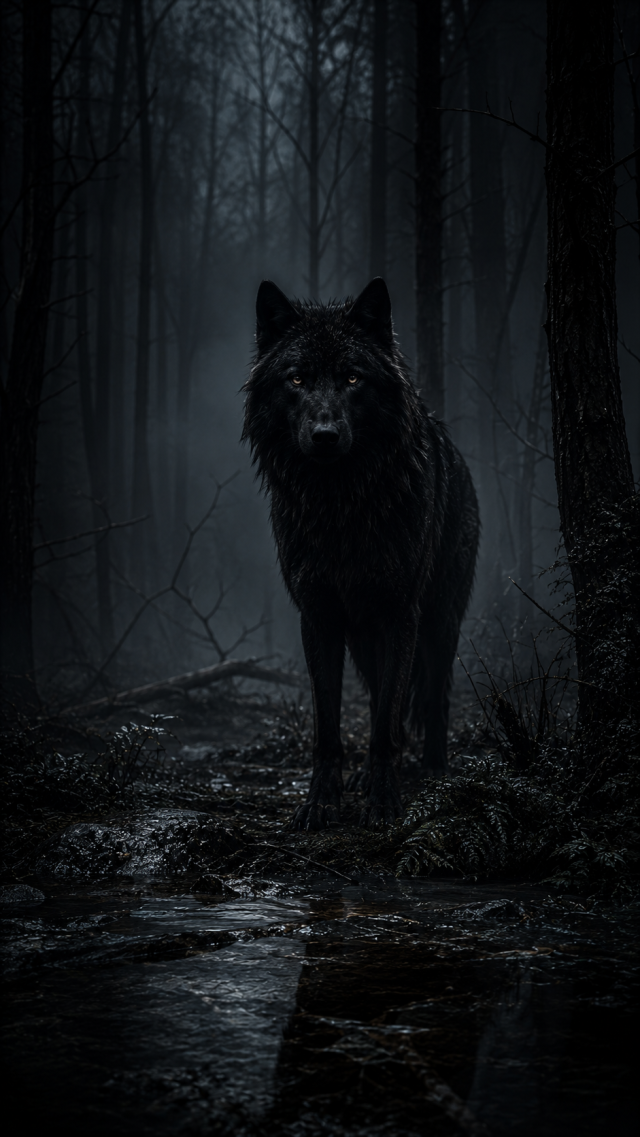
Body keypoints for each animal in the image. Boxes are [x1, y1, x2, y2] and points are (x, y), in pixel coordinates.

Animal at [242, 278, 479, 829]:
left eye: (352, 378)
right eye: (298, 379)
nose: (325, 436)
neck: (340, 507)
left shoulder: (400, 616)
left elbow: (388, 724)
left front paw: (385, 803)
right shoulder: (319, 617)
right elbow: (330, 726)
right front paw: (321, 804)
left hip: (438, 625)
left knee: (432, 701)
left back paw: (434, 772)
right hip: (367, 640)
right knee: (376, 700)